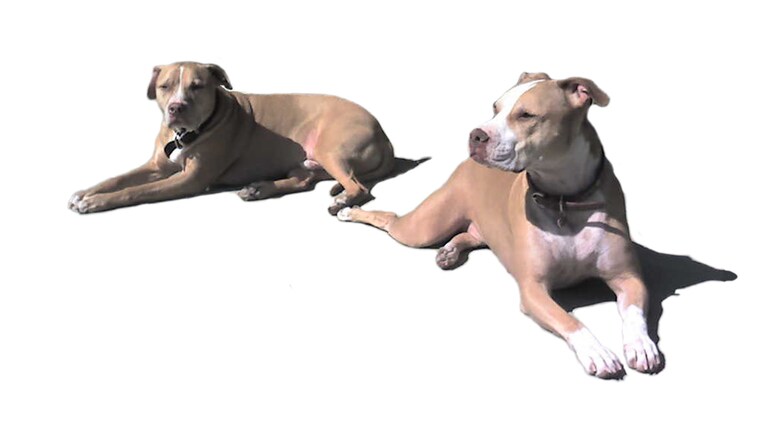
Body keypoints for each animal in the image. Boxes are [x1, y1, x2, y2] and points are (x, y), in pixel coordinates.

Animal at [68, 61, 395, 215]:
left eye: (197, 86)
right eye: (165, 86)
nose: (176, 108)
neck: (186, 134)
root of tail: (384, 135)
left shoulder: (190, 179)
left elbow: (136, 191)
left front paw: (96, 202)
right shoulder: (156, 166)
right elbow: (119, 179)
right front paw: (85, 193)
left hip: (331, 148)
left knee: (359, 187)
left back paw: (341, 200)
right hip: (308, 162)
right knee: (303, 180)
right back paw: (259, 189)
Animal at [337, 72, 663, 379]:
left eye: (526, 115)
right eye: (495, 108)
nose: (475, 135)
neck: (564, 199)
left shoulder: (628, 277)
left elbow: (634, 313)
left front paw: (641, 345)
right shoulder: (533, 289)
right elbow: (570, 320)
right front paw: (597, 352)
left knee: (469, 235)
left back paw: (449, 252)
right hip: (423, 227)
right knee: (391, 219)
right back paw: (348, 211)